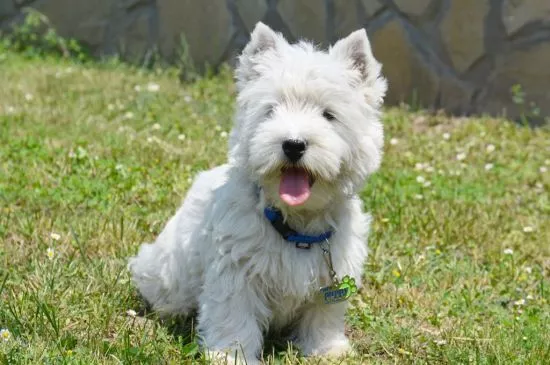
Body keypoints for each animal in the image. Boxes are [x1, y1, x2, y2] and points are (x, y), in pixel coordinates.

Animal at [129, 22, 388, 364]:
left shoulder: (332, 274)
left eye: (328, 115)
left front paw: (326, 349)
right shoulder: (236, 271)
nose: (293, 144)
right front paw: (230, 355)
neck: (296, 224)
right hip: (168, 271)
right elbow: (234, 315)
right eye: (271, 110)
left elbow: (323, 315)